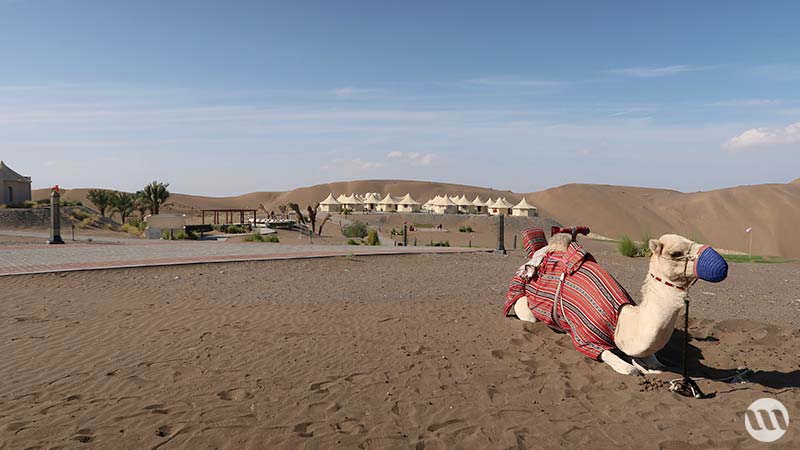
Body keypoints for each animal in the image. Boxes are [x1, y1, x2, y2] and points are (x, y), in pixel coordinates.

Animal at [510, 232, 728, 376]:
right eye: (676, 253)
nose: (720, 264)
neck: (620, 321)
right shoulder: (586, 338)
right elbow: (630, 369)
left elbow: (657, 365)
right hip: (524, 305)